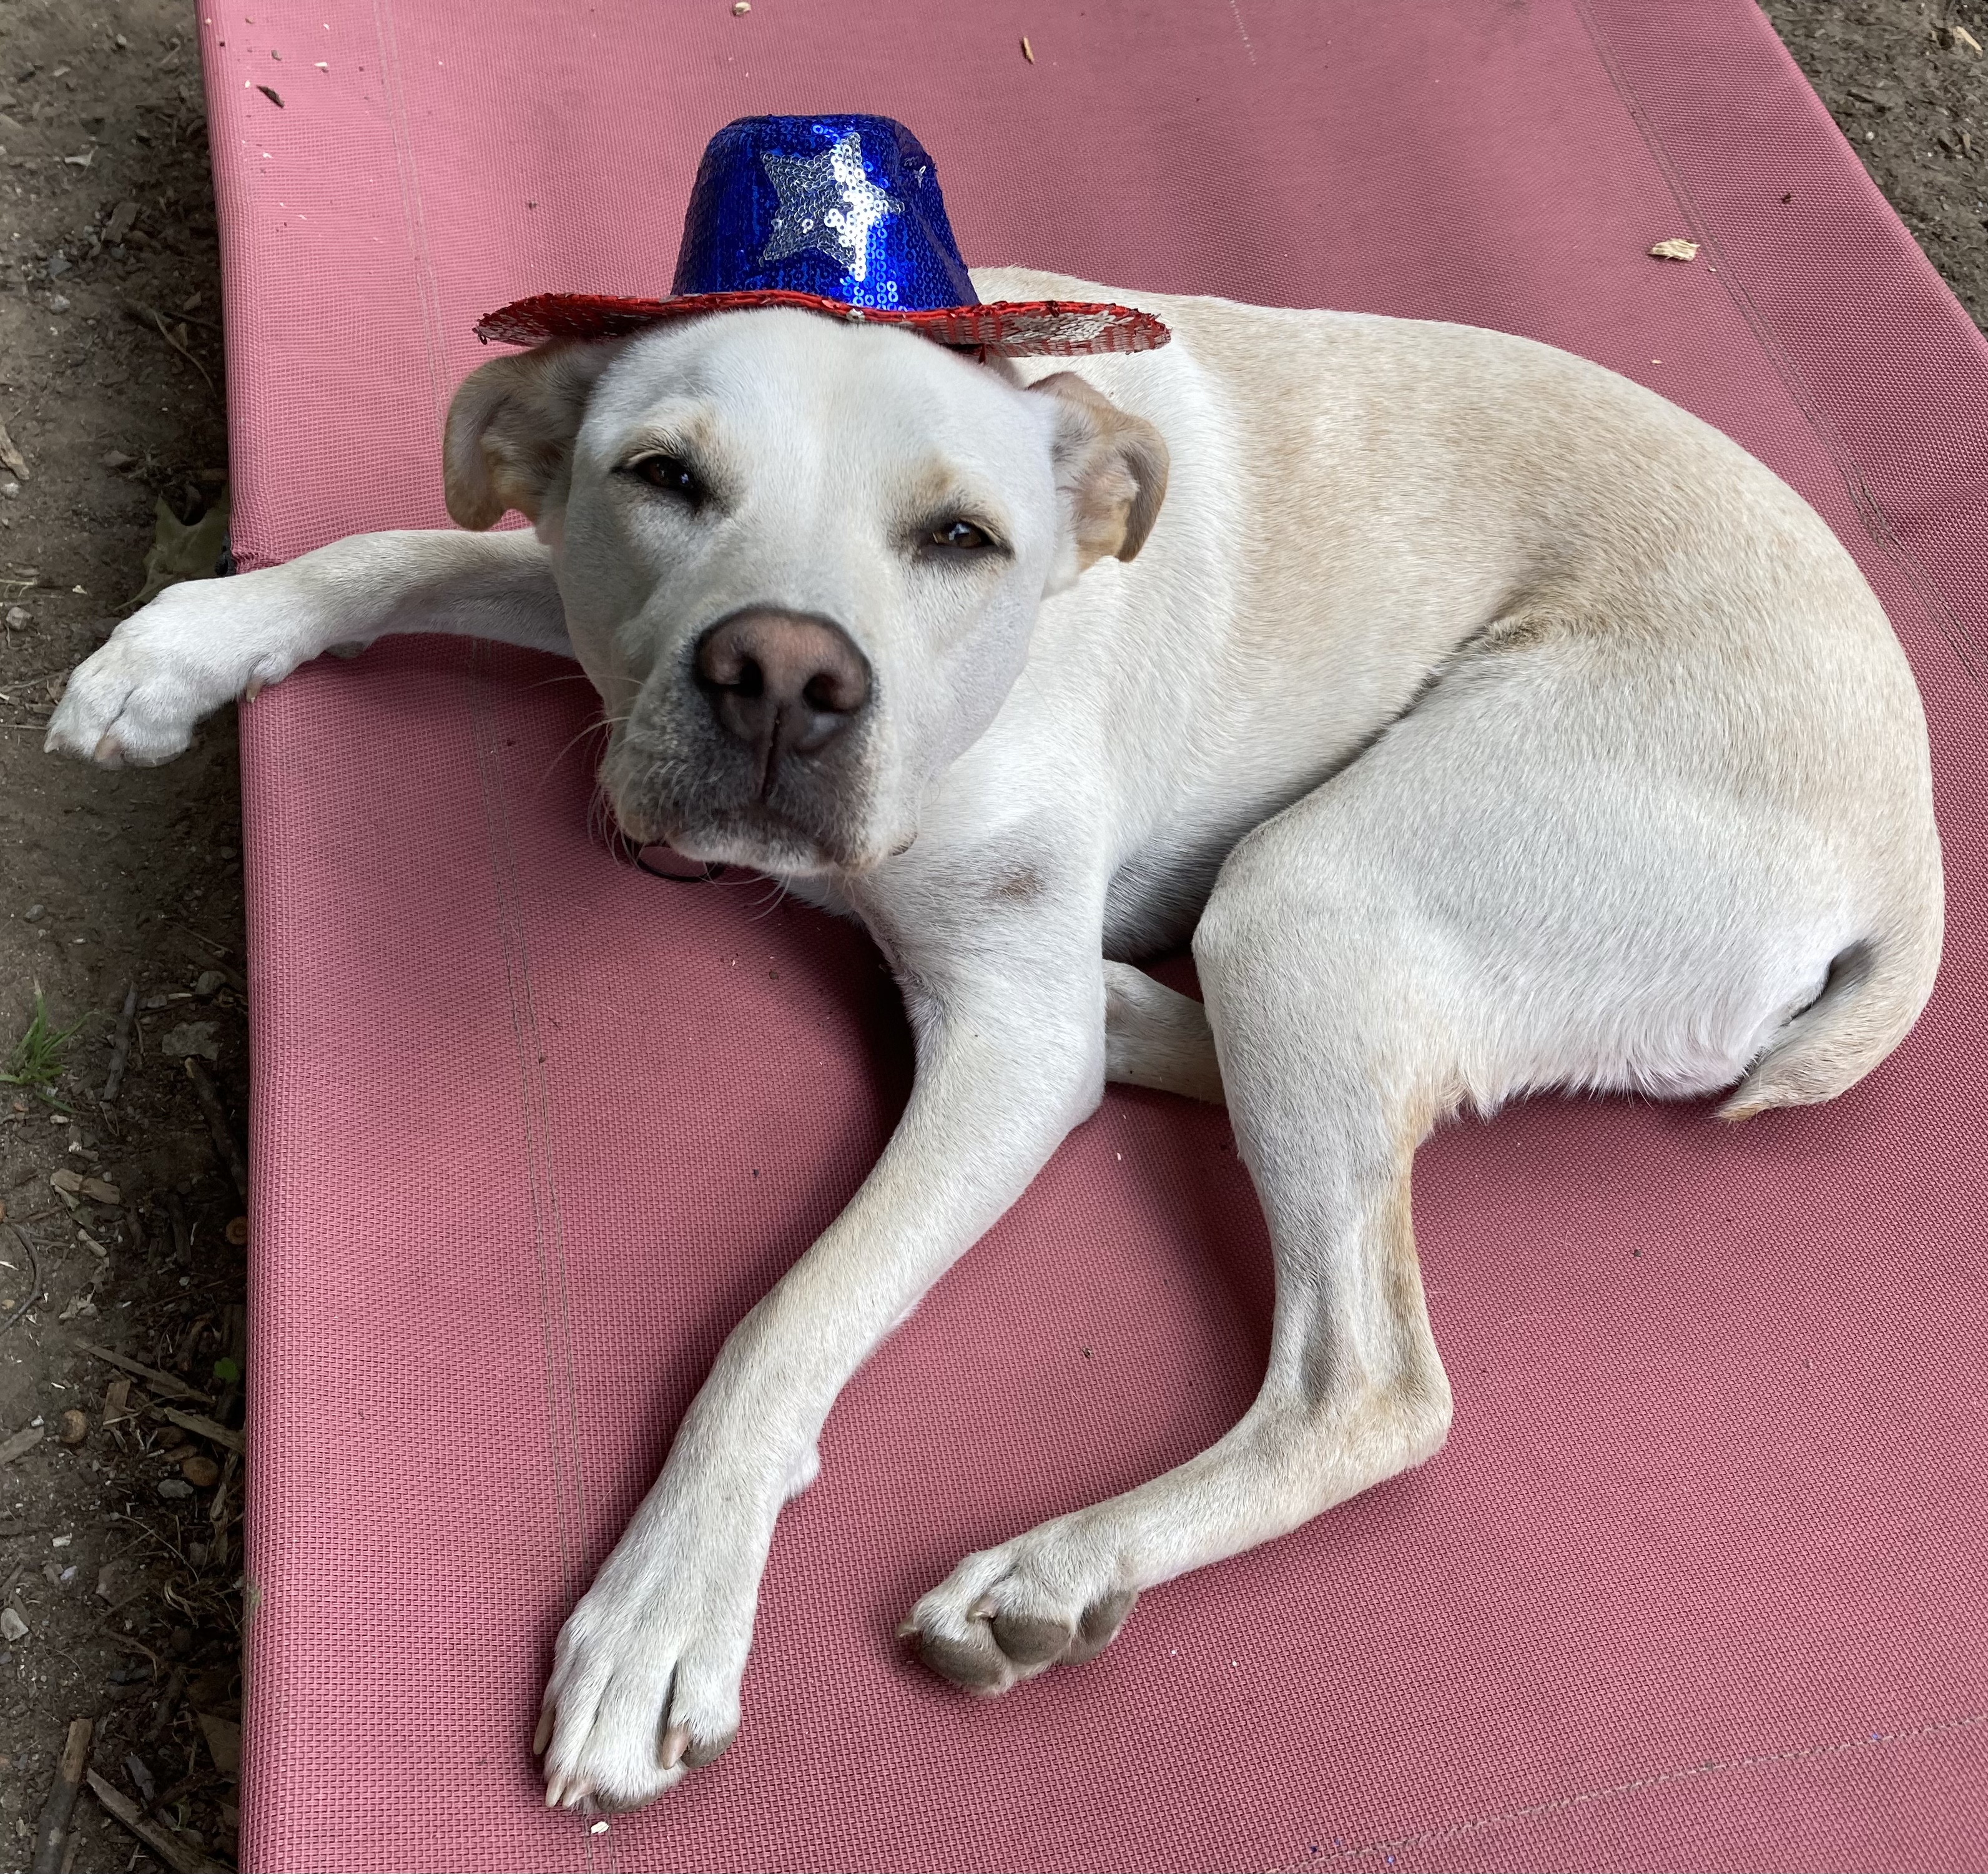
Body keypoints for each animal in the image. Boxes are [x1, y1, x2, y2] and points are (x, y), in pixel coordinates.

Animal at [46, 264, 1942, 1810]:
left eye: (961, 539)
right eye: (662, 479)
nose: (780, 676)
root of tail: (1911, 856)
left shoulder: (997, 1067)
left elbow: (785, 1320)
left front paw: (666, 1602)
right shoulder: (607, 629)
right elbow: (420, 545)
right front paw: (191, 644)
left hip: (1315, 889)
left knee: (1367, 1380)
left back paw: (1057, 1563)